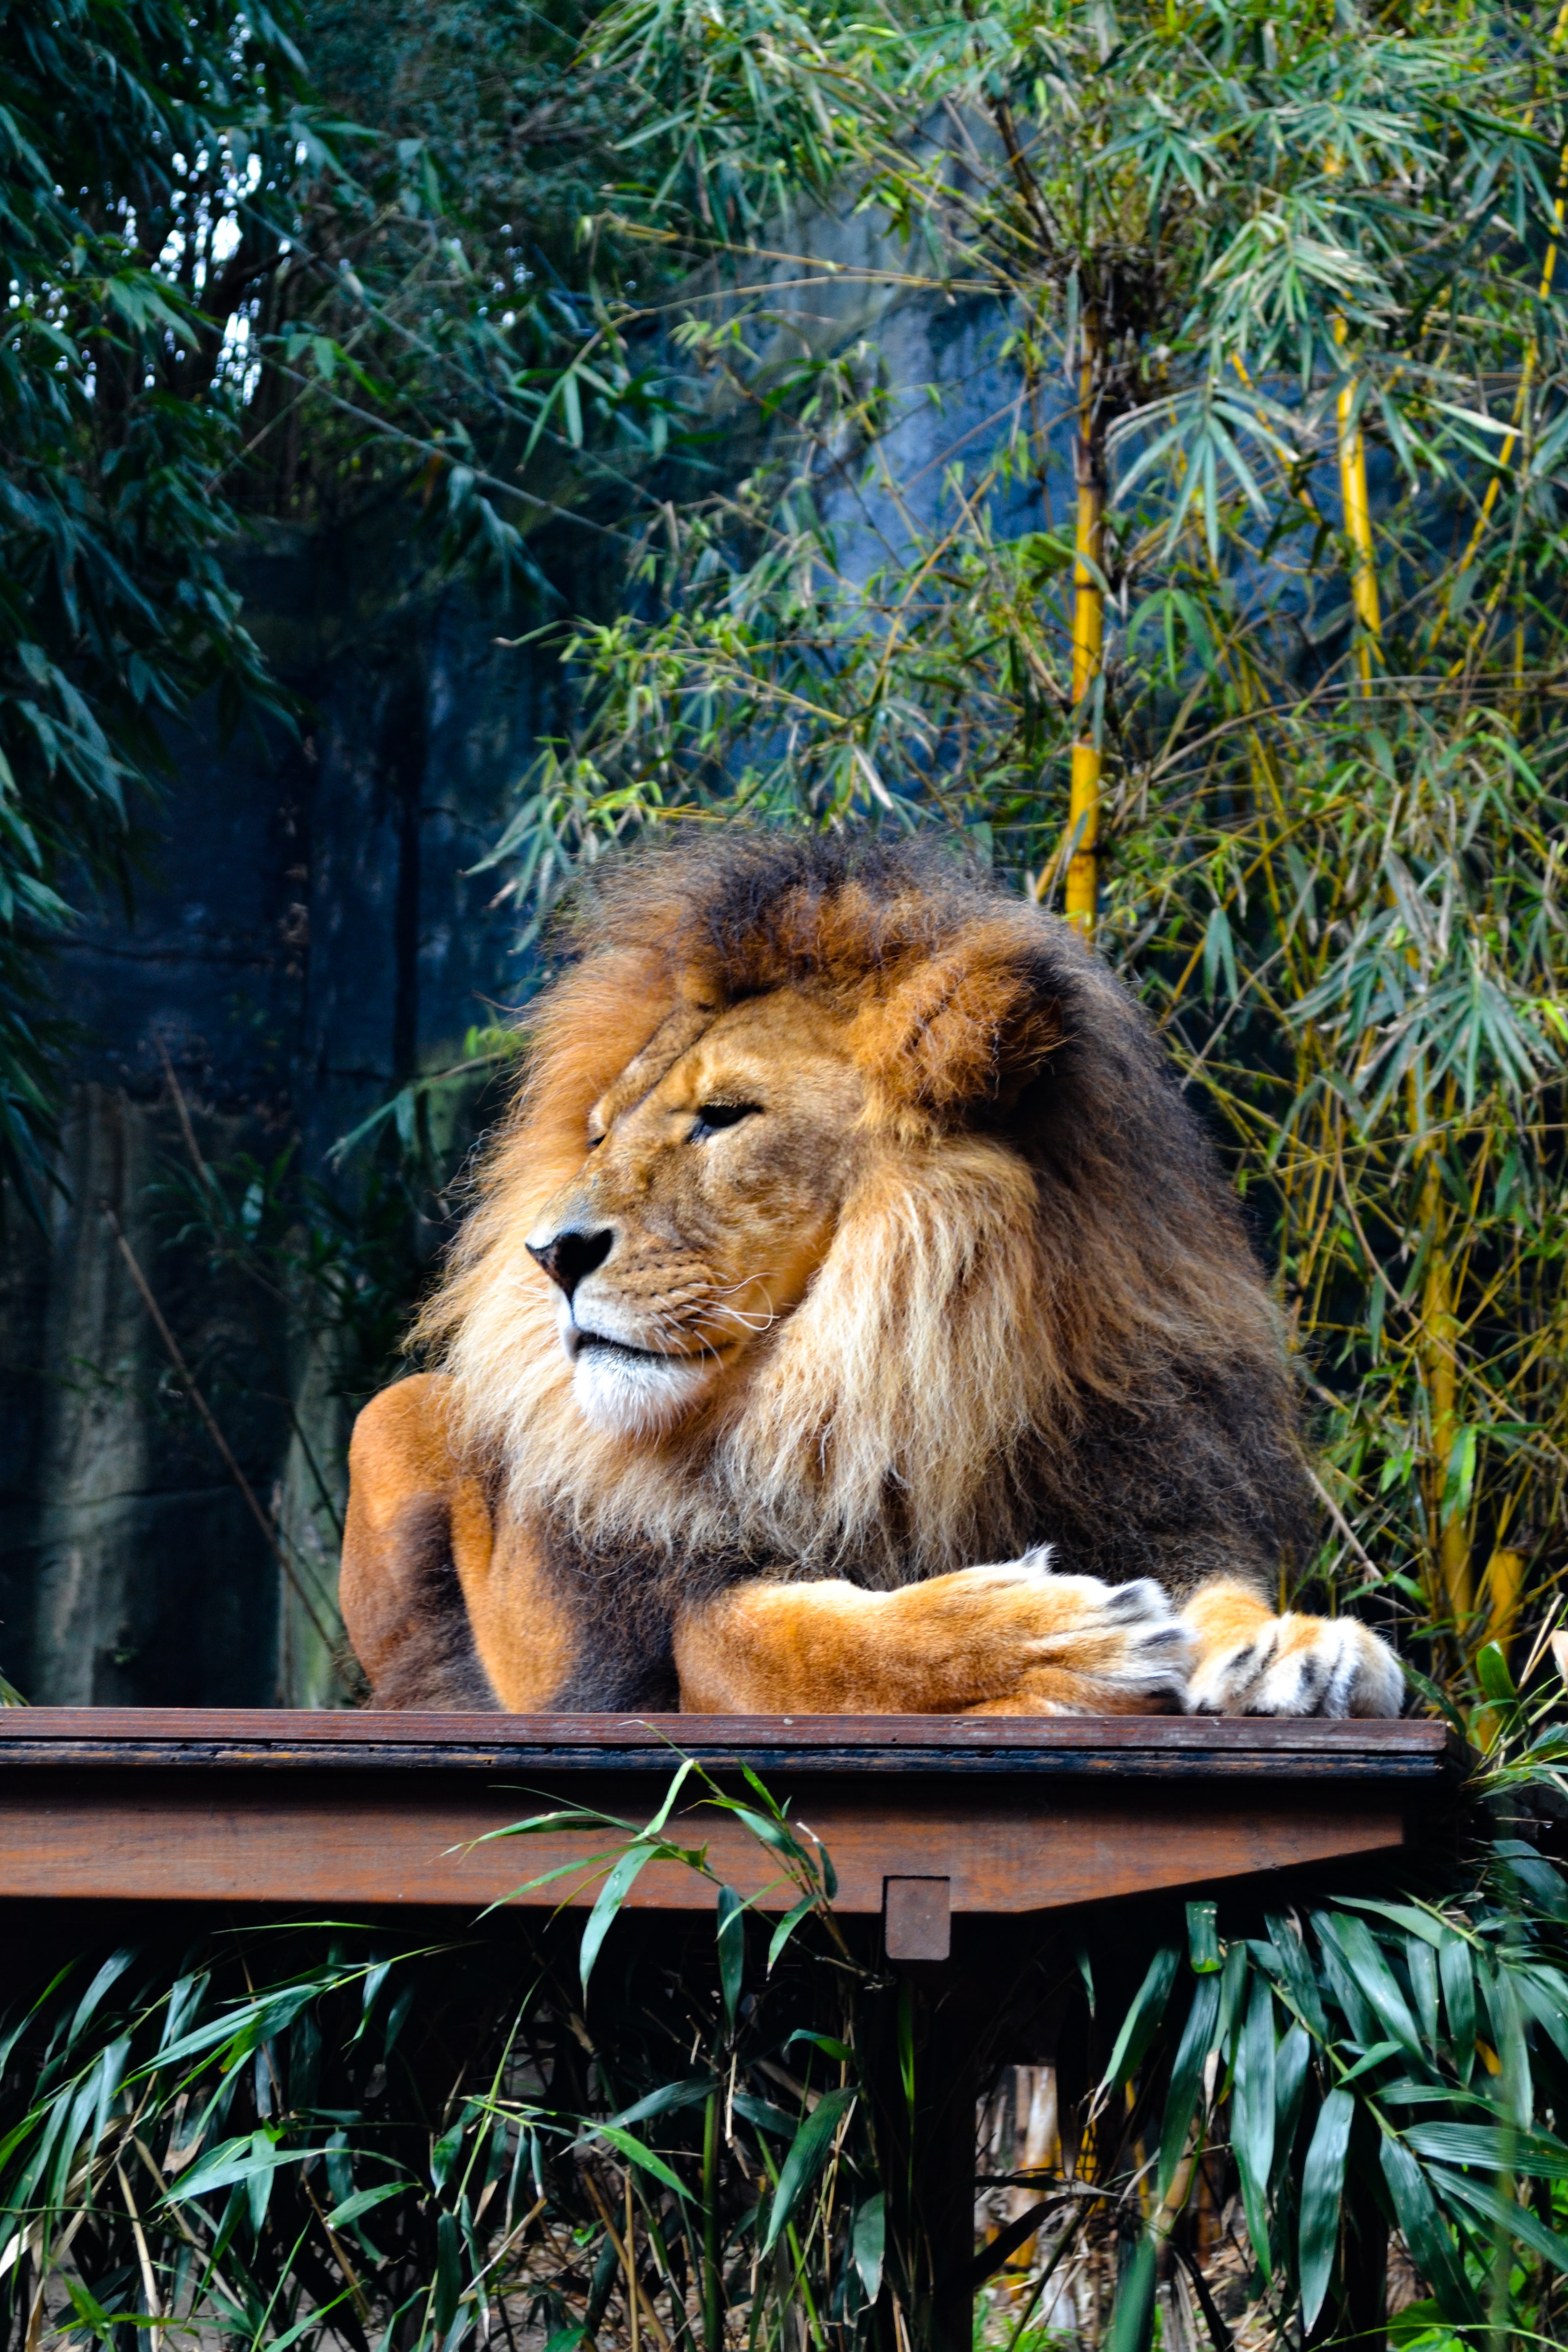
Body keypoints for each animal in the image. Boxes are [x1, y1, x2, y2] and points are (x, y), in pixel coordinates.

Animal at [340, 832, 1402, 1720]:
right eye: (599, 1134)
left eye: (724, 1115)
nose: (550, 1253)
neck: (893, 1391)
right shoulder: (687, 1633)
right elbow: (827, 1639)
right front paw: (1065, 1635)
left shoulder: (1147, 1489)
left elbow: (1221, 1588)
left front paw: (1294, 1647)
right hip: (390, 1415)